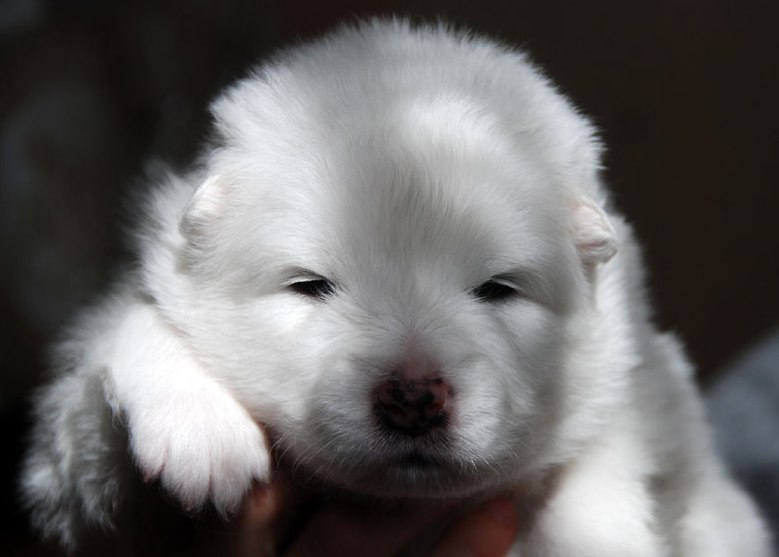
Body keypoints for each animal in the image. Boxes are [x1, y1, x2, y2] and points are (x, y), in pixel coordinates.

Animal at [19, 18, 772, 556]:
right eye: (311, 286)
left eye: (497, 289)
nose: (413, 397)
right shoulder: (91, 507)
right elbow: (123, 338)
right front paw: (198, 430)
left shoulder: (645, 388)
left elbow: (605, 467)